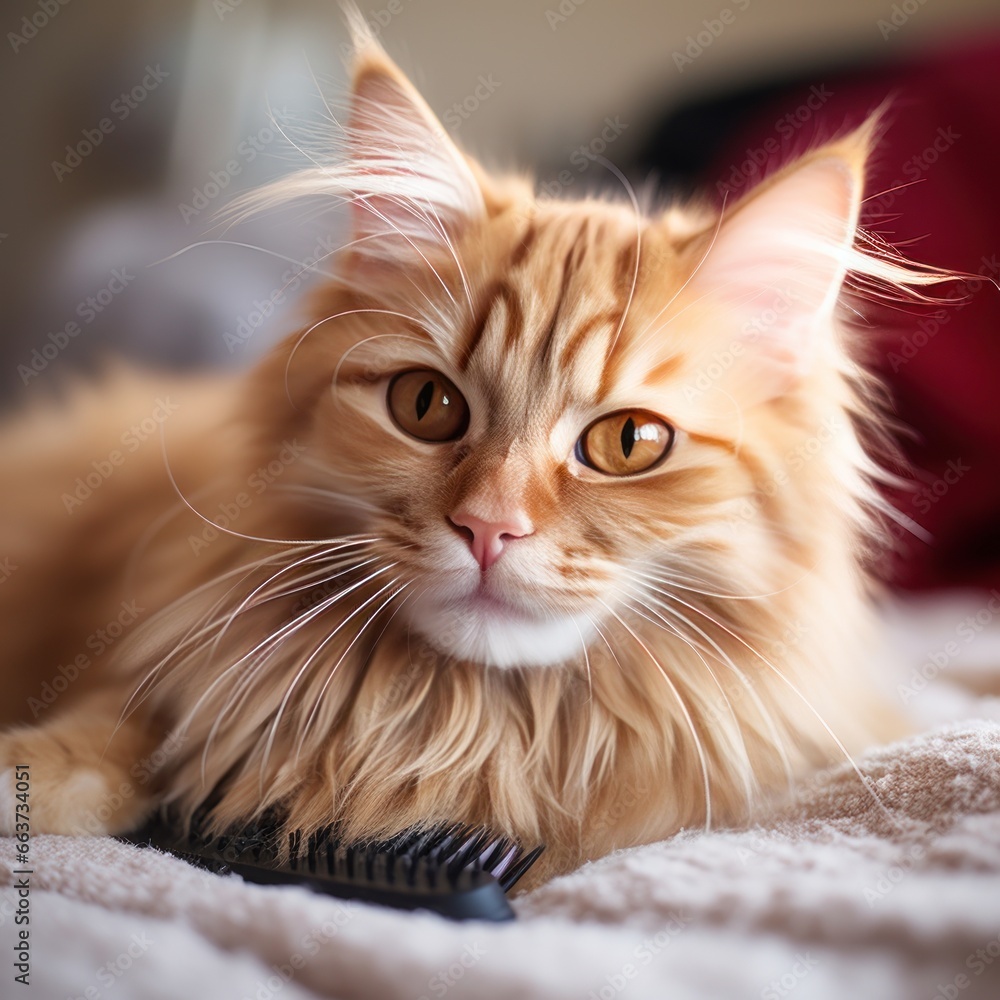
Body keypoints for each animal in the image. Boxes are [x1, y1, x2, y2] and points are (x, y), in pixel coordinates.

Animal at [0, 19, 944, 888]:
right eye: (426, 406)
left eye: (628, 444)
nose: (489, 528)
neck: (471, 729)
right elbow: (117, 733)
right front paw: (34, 772)